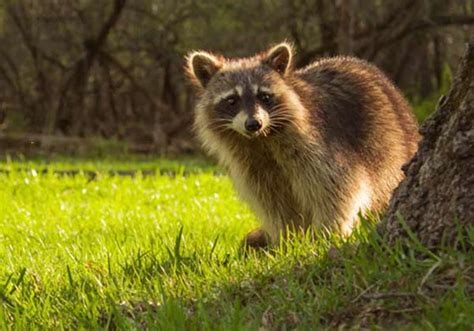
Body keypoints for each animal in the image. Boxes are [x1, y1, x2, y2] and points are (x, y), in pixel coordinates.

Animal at [185, 42, 418, 249]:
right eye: (232, 100)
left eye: (265, 96)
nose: (253, 124)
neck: (260, 140)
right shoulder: (253, 166)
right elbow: (274, 203)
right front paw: (288, 239)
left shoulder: (320, 146)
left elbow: (336, 189)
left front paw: (327, 234)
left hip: (392, 143)